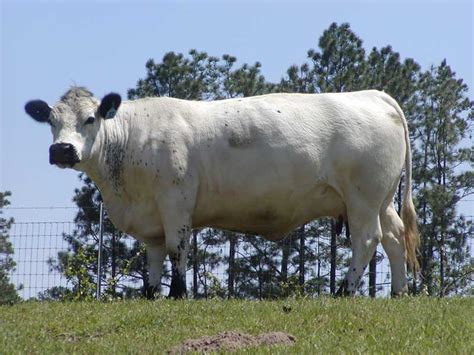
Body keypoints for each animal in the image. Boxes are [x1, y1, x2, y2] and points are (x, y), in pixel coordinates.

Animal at [25, 87, 418, 298]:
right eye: (51, 120)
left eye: (90, 119)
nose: (62, 150)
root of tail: (372, 94)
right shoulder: (150, 216)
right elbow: (153, 257)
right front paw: (151, 295)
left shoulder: (175, 200)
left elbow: (177, 249)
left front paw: (178, 294)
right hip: (382, 199)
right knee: (394, 237)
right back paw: (400, 292)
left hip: (363, 198)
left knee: (366, 240)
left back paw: (343, 291)